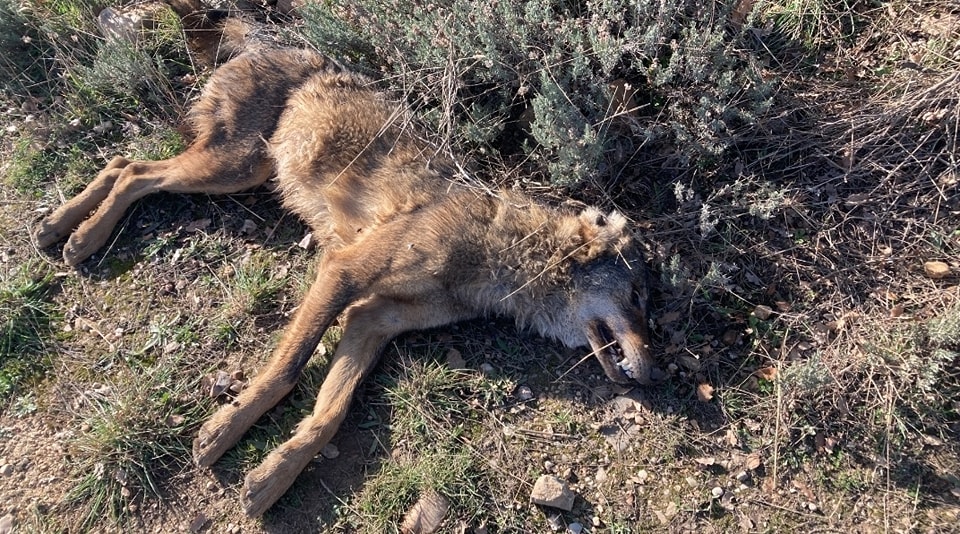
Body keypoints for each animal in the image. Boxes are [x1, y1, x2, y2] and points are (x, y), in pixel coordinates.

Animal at [34, 5, 657, 518]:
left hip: (233, 172)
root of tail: (274, 38)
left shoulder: (369, 320)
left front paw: (274, 475)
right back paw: (80, 237)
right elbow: (286, 371)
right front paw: (226, 428)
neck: (495, 256)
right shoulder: (344, 274)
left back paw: (60, 229)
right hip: (232, 168)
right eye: (636, 299)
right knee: (134, 170)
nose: (653, 374)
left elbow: (331, 410)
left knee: (124, 163)